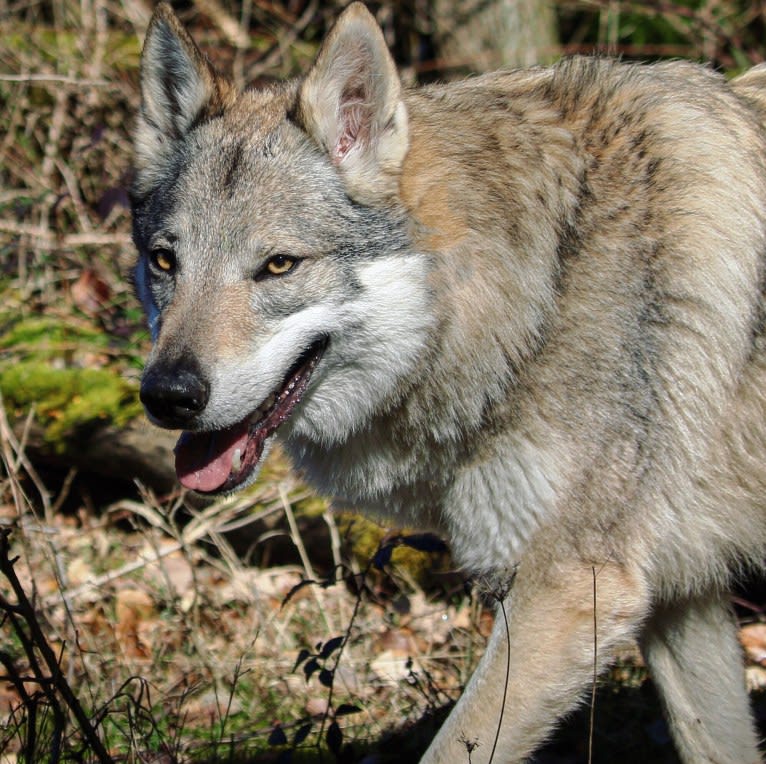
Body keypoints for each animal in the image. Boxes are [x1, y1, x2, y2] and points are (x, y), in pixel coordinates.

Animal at [134, 2, 766, 760]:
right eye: (165, 261)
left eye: (279, 265)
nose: (168, 395)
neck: (543, 288)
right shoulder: (678, 600)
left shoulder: (568, 594)